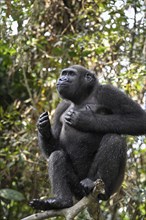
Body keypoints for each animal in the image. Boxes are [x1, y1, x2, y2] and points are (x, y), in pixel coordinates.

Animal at [30, 65, 146, 210]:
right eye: (64, 73)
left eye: (71, 74)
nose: (61, 79)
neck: (84, 97)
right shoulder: (61, 107)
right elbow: (53, 149)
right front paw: (44, 128)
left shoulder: (108, 92)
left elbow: (139, 119)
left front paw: (86, 119)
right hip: (76, 189)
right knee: (57, 155)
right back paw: (61, 201)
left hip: (111, 190)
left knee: (114, 140)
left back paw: (91, 183)